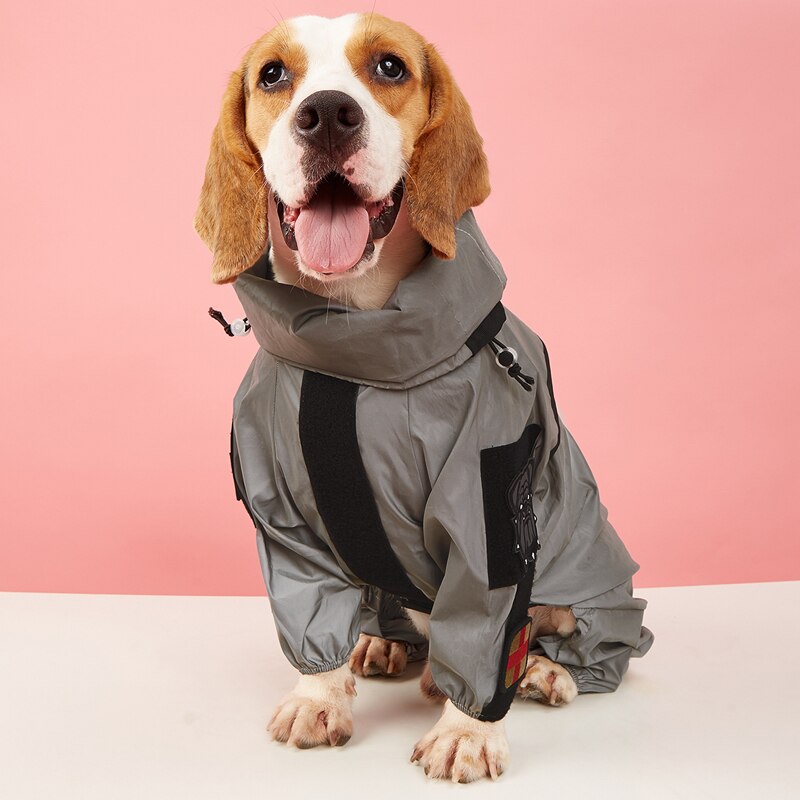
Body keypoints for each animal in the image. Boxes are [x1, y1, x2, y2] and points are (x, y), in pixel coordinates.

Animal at [195, 9, 648, 784]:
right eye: (273, 75)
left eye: (389, 67)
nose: (326, 114)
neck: (351, 346)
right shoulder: (282, 516)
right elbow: (307, 609)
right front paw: (318, 694)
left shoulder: (487, 513)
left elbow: (485, 626)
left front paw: (468, 731)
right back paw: (385, 646)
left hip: (591, 583)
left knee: (565, 637)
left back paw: (545, 672)